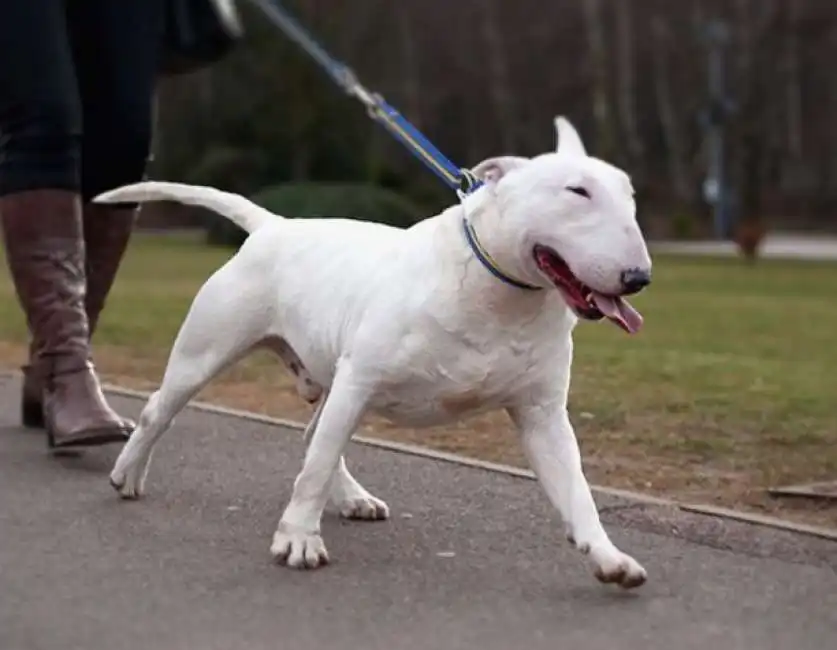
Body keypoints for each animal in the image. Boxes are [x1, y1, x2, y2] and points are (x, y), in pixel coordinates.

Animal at [93, 116, 652, 588]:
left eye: (630, 196)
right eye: (577, 191)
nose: (639, 277)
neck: (497, 293)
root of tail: (274, 225)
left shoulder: (542, 415)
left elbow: (576, 489)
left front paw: (610, 558)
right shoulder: (359, 378)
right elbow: (315, 468)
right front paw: (298, 541)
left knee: (314, 434)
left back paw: (354, 498)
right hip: (209, 351)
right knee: (161, 411)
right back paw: (128, 472)